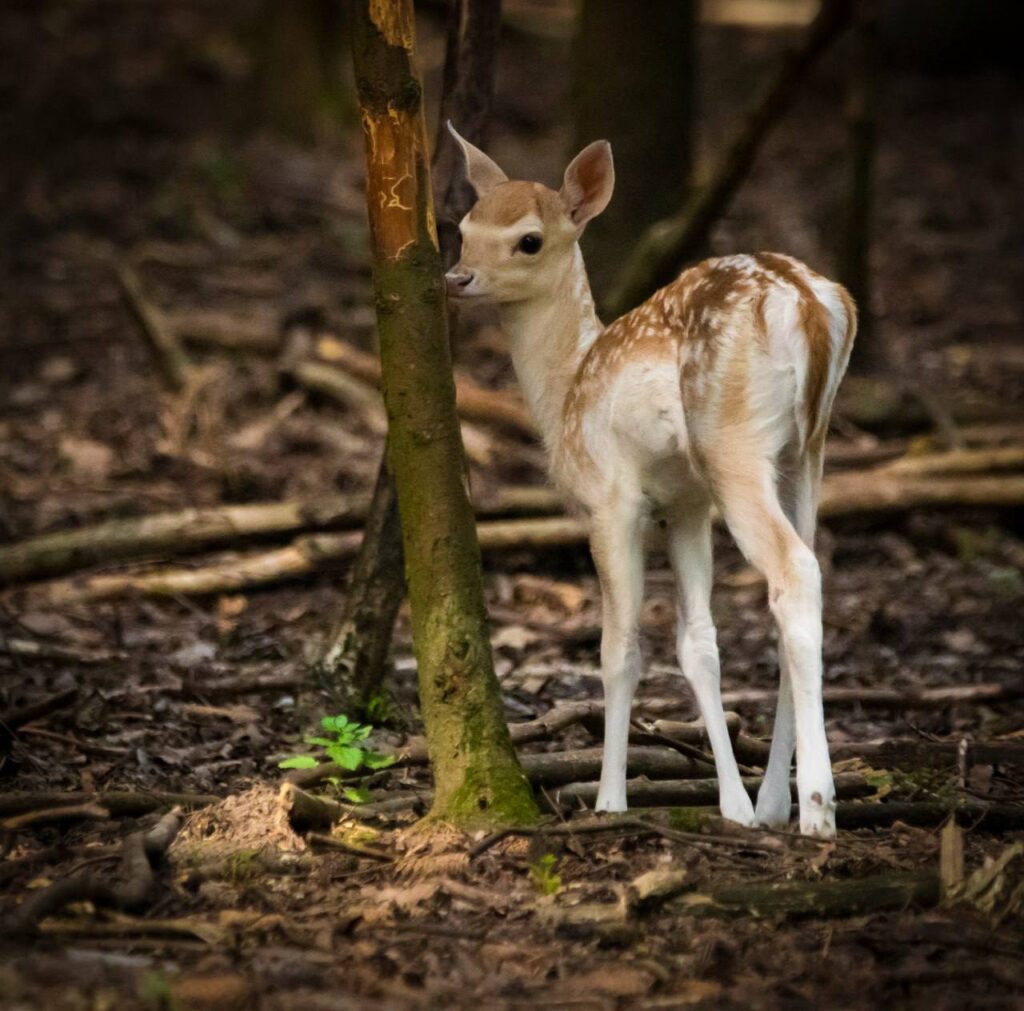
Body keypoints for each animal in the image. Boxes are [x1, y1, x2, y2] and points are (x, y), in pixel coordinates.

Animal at [443, 125, 856, 837]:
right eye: (465, 227)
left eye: (529, 239)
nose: (456, 277)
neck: (566, 391)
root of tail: (808, 305)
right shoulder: (684, 505)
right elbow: (698, 644)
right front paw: (735, 806)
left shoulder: (610, 499)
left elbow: (620, 650)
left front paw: (610, 799)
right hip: (807, 451)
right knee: (804, 575)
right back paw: (776, 803)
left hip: (732, 445)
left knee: (794, 571)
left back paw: (817, 809)